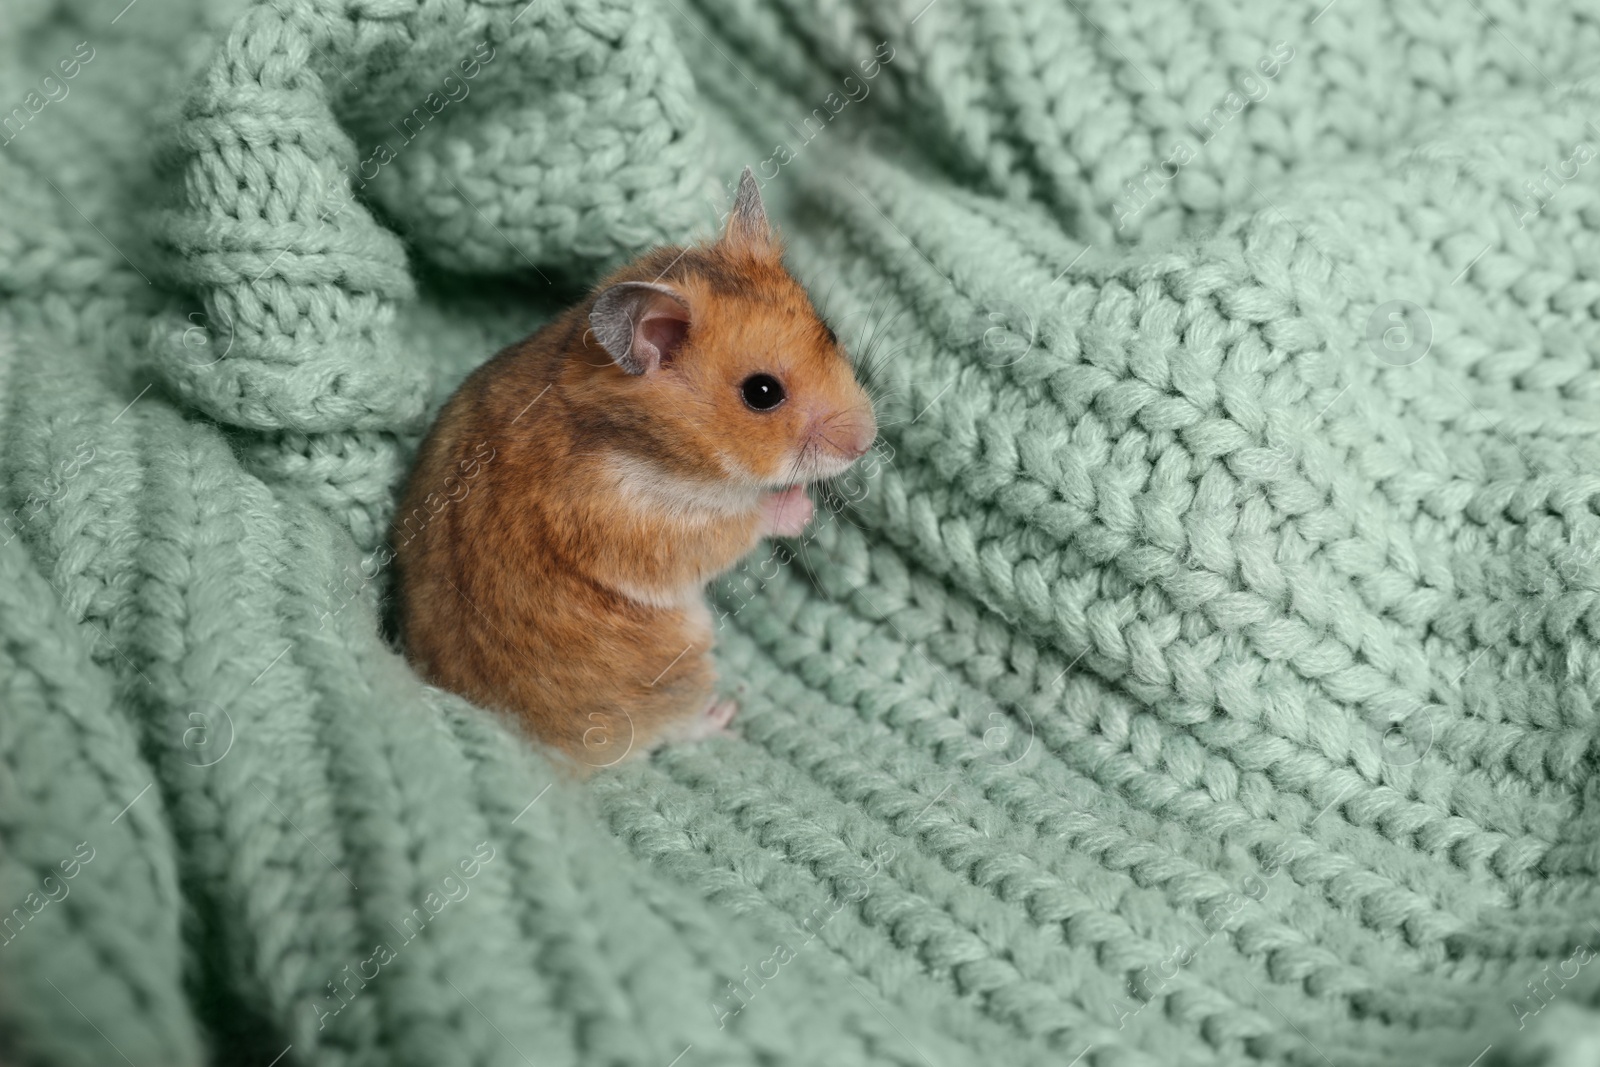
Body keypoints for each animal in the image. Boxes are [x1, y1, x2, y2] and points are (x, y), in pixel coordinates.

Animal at [395, 167, 883, 771]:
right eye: (762, 393)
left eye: (832, 333)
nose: (868, 442)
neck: (657, 448)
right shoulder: (642, 524)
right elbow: (737, 524)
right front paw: (799, 508)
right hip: (682, 661)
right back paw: (725, 713)